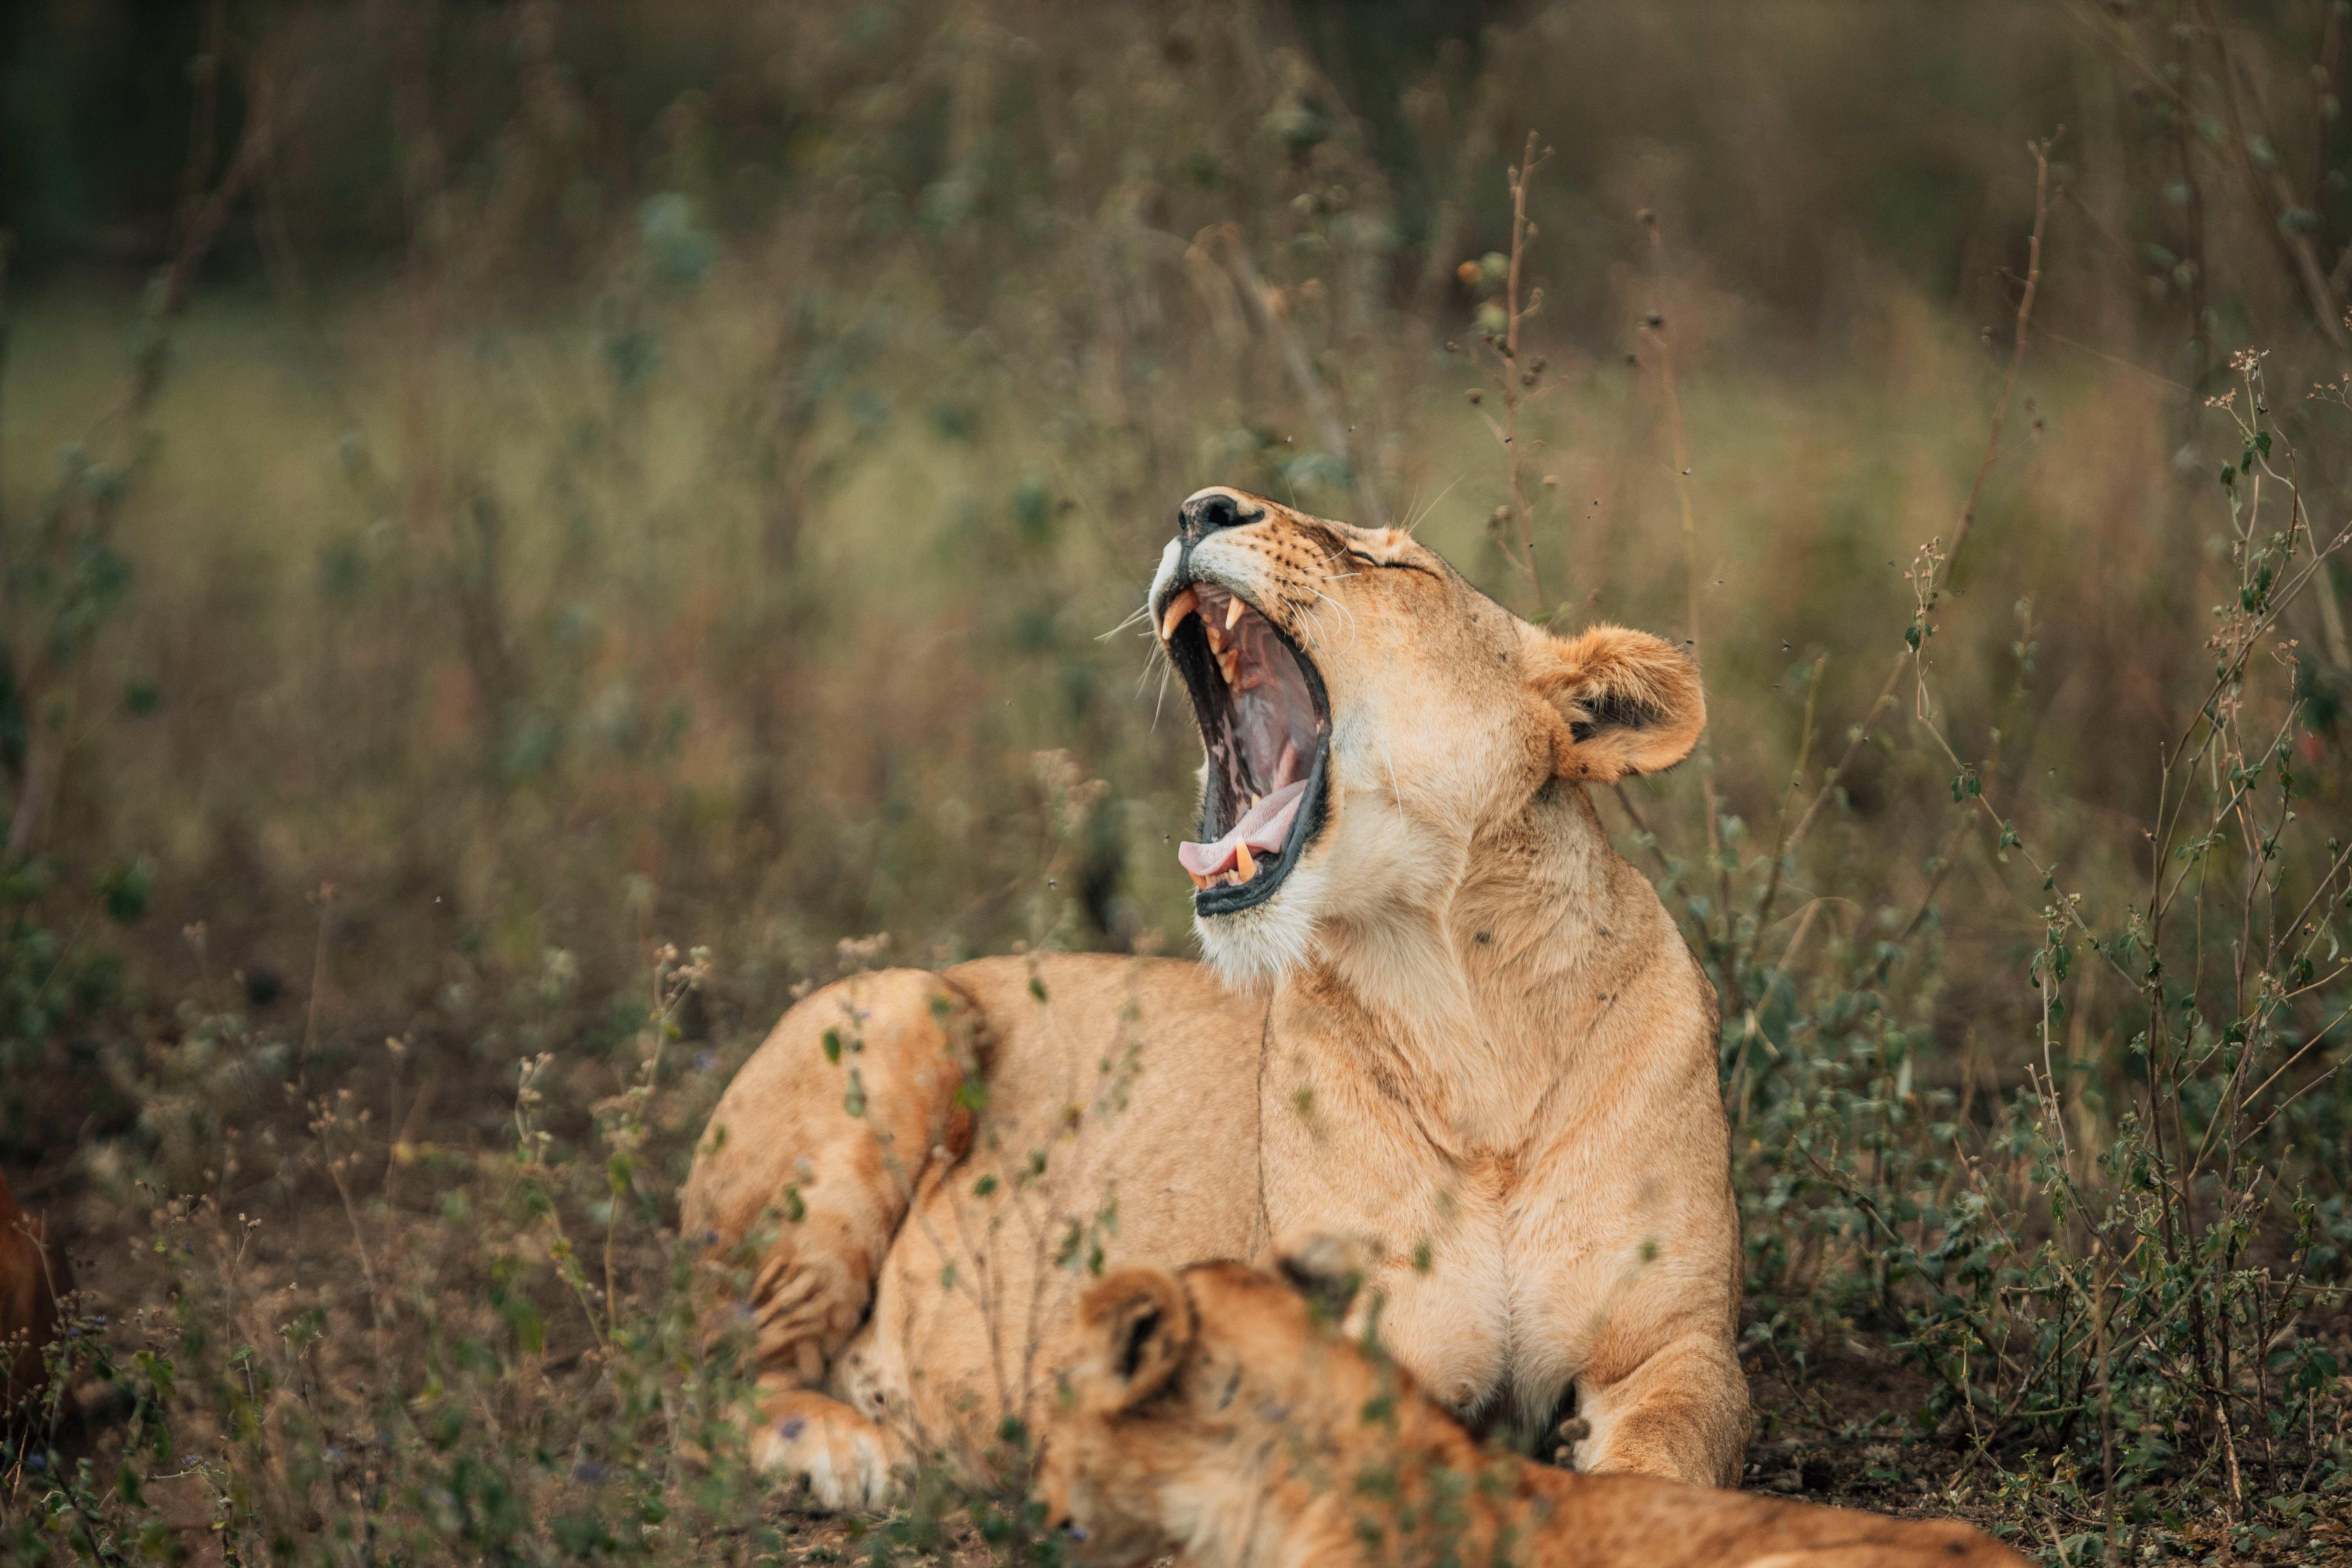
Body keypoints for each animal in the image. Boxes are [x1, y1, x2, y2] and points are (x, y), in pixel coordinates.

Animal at [681, 486, 1745, 1507]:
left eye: (1391, 563)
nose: (1200, 509)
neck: (1464, 1017)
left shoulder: (1681, 1344)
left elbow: (1671, 1455)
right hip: (908, 1011)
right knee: (712, 1378)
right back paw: (845, 1451)